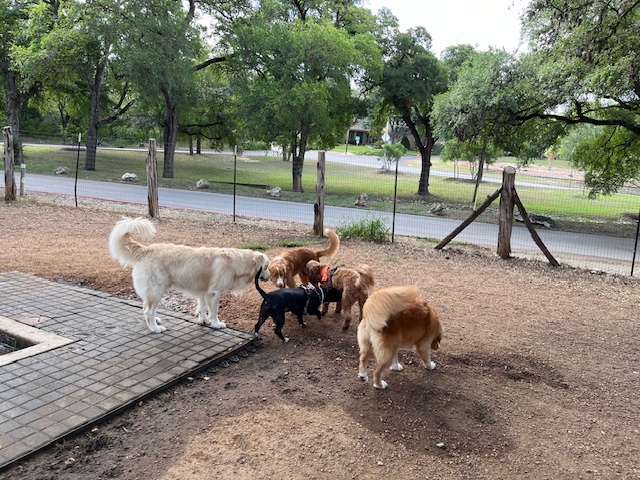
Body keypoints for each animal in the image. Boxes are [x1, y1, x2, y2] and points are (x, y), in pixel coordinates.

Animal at [110, 218, 270, 334]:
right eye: (267, 266)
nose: (269, 277)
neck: (236, 262)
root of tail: (145, 249)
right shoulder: (214, 293)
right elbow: (214, 312)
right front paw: (216, 324)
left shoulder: (204, 291)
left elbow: (202, 308)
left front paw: (204, 321)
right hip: (156, 290)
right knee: (148, 311)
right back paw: (155, 328)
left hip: (150, 291)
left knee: (145, 308)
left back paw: (155, 321)